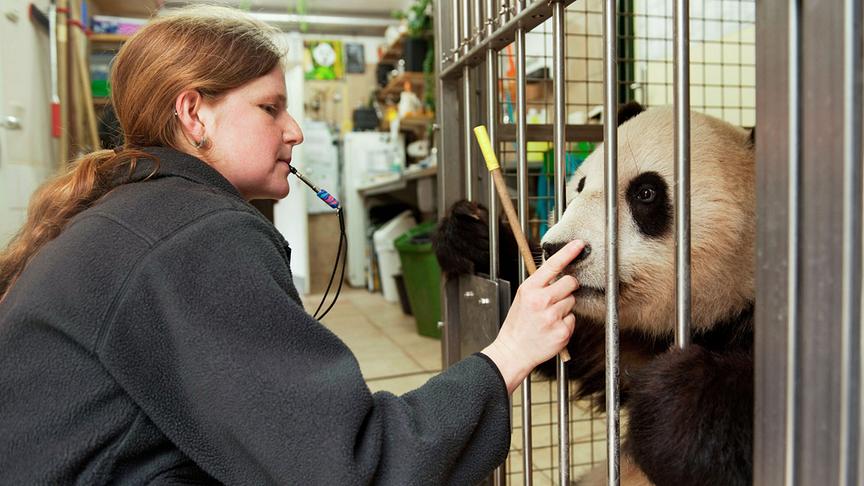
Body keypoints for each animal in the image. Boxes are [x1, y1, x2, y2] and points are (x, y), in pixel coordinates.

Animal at [434, 103, 755, 486]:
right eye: (580, 186)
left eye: (646, 193)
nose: (556, 248)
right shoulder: (623, 339)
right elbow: (581, 345)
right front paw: (470, 235)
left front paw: (674, 394)